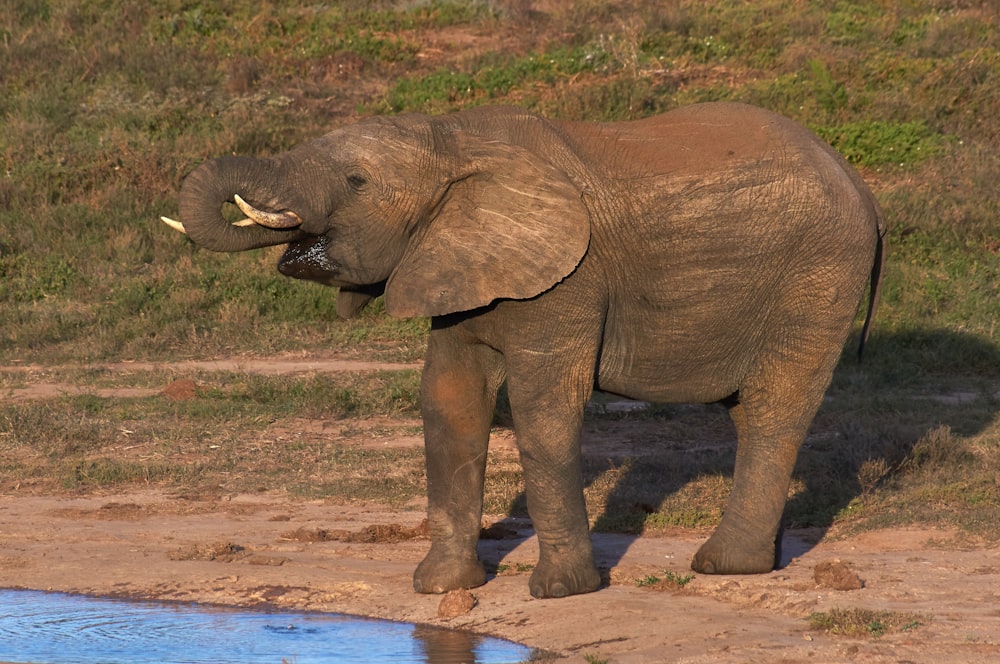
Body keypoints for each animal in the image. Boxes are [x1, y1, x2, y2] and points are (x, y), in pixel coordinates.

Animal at [162, 101, 884, 600]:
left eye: (356, 180)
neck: (454, 141)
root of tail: (860, 184)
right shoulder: (456, 262)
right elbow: (449, 403)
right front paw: (440, 588)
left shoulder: (572, 276)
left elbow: (543, 409)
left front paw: (560, 593)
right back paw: (754, 560)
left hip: (818, 276)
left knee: (774, 407)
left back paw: (724, 566)